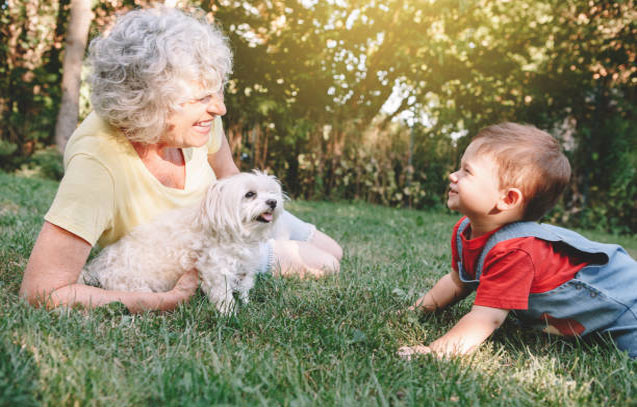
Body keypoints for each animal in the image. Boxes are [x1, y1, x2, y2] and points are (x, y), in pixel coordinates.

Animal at [78, 171, 282, 314]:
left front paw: (246, 304)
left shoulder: (245, 267)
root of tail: (96, 267)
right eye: (250, 194)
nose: (273, 202)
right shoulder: (215, 269)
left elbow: (245, 286)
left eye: (271, 192)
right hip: (132, 284)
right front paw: (229, 312)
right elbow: (222, 292)